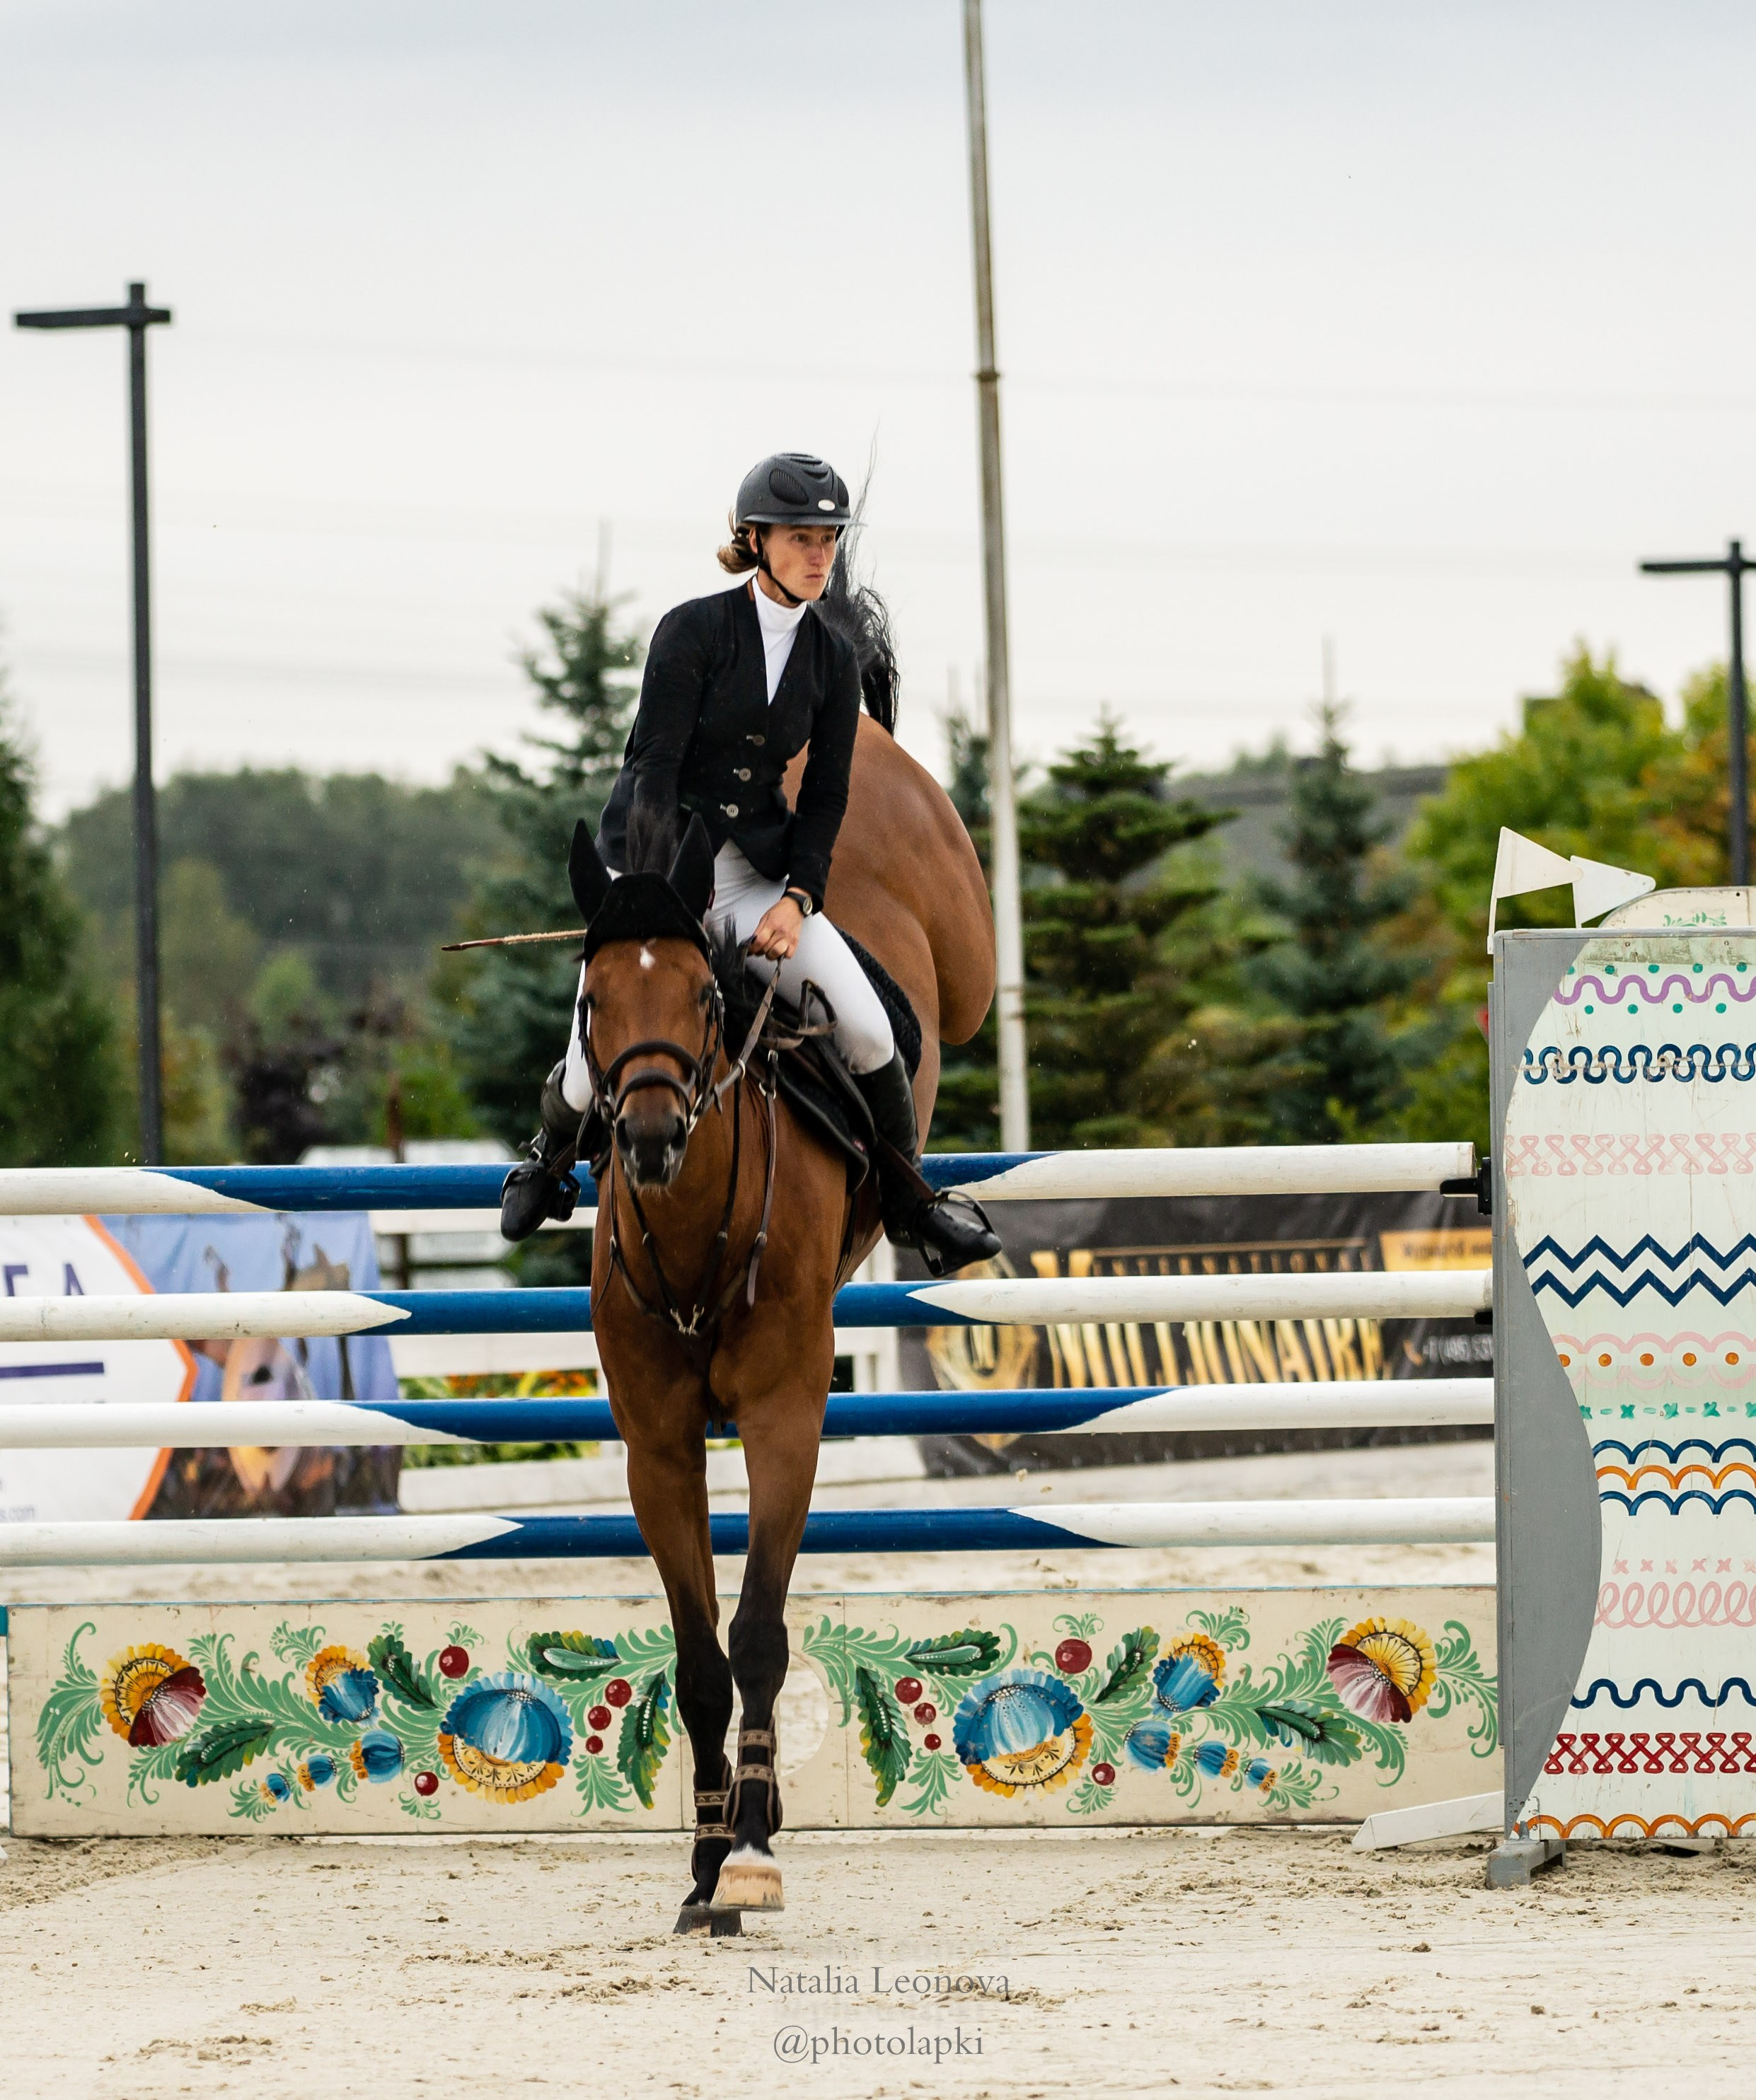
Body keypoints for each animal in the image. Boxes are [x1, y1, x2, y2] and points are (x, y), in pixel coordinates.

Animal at [566, 716, 993, 1928]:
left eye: (706, 1002)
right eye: (590, 1002)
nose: (650, 1138)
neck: (693, 1231)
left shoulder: (783, 1417)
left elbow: (756, 1632)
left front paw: (753, 1848)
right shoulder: (658, 1448)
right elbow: (698, 1656)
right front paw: (708, 1860)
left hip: (960, 941)